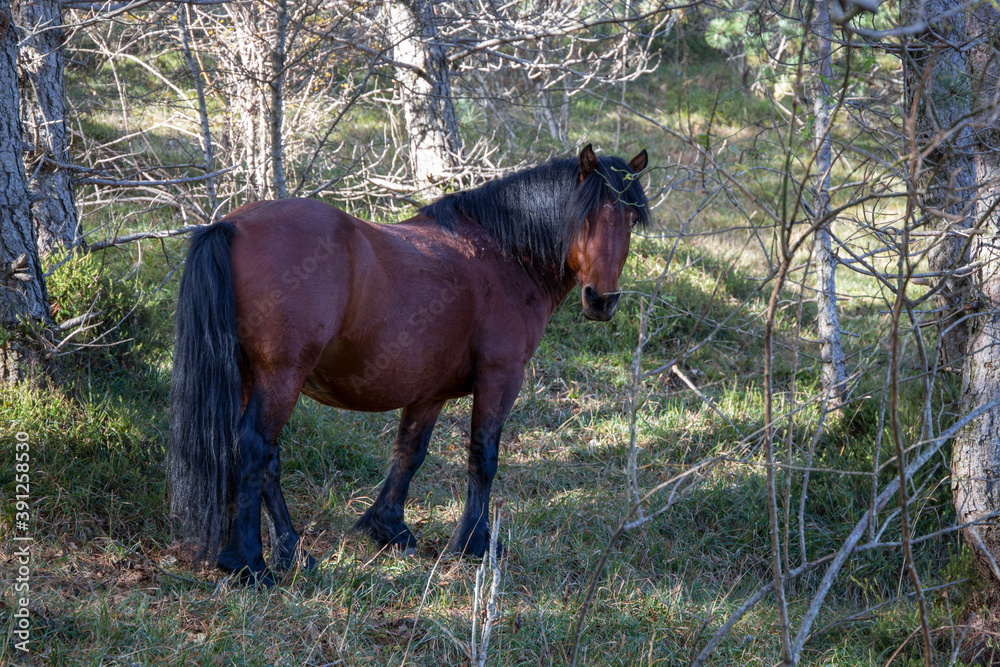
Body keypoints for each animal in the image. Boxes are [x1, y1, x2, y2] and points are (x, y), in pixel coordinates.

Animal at [168, 144, 649, 585]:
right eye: (586, 216)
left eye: (629, 220)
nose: (602, 300)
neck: (505, 255)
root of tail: (230, 225)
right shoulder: (501, 376)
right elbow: (483, 457)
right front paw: (474, 544)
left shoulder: (429, 391)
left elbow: (410, 453)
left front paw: (388, 528)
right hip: (280, 377)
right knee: (254, 449)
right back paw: (250, 563)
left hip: (250, 376)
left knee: (263, 458)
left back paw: (292, 551)